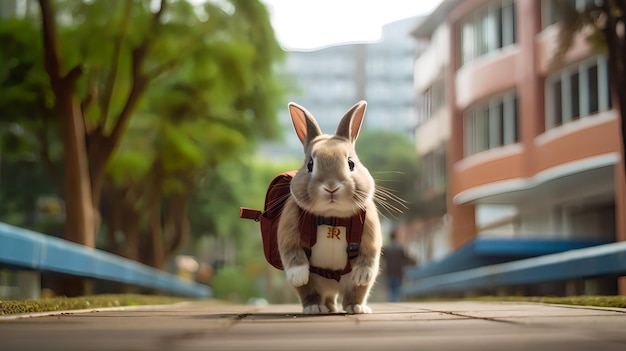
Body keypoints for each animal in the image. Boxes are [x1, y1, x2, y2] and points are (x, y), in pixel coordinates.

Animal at [276, 100, 380, 314]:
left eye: (350, 163)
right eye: (310, 164)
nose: (331, 187)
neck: (332, 215)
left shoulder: (370, 226)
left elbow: (370, 251)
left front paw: (362, 274)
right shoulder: (289, 224)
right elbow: (290, 249)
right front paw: (298, 275)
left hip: (351, 286)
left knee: (354, 292)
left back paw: (355, 307)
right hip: (314, 284)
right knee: (312, 293)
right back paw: (316, 308)